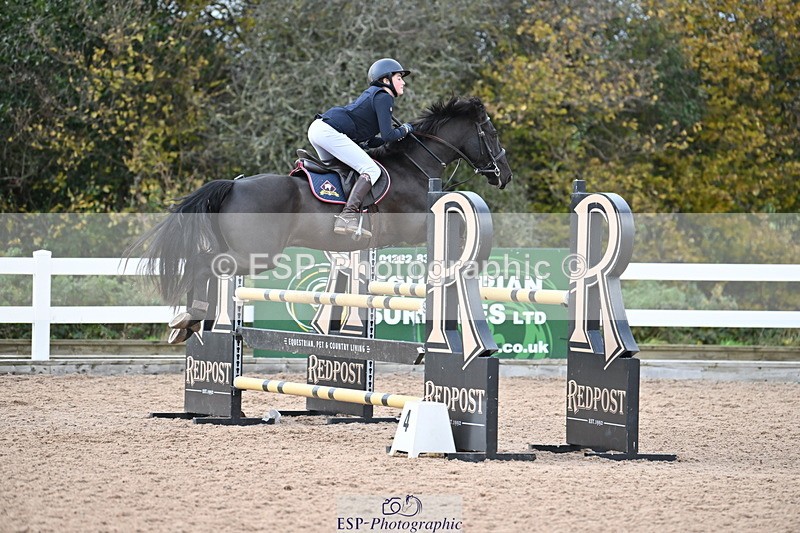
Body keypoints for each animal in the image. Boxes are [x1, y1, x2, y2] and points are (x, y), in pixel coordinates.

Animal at [127, 96, 512, 337]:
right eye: (492, 134)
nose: (504, 175)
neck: (416, 165)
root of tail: (233, 184)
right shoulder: (415, 225)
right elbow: (456, 233)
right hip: (257, 255)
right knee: (204, 263)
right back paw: (188, 318)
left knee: (203, 262)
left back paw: (188, 321)